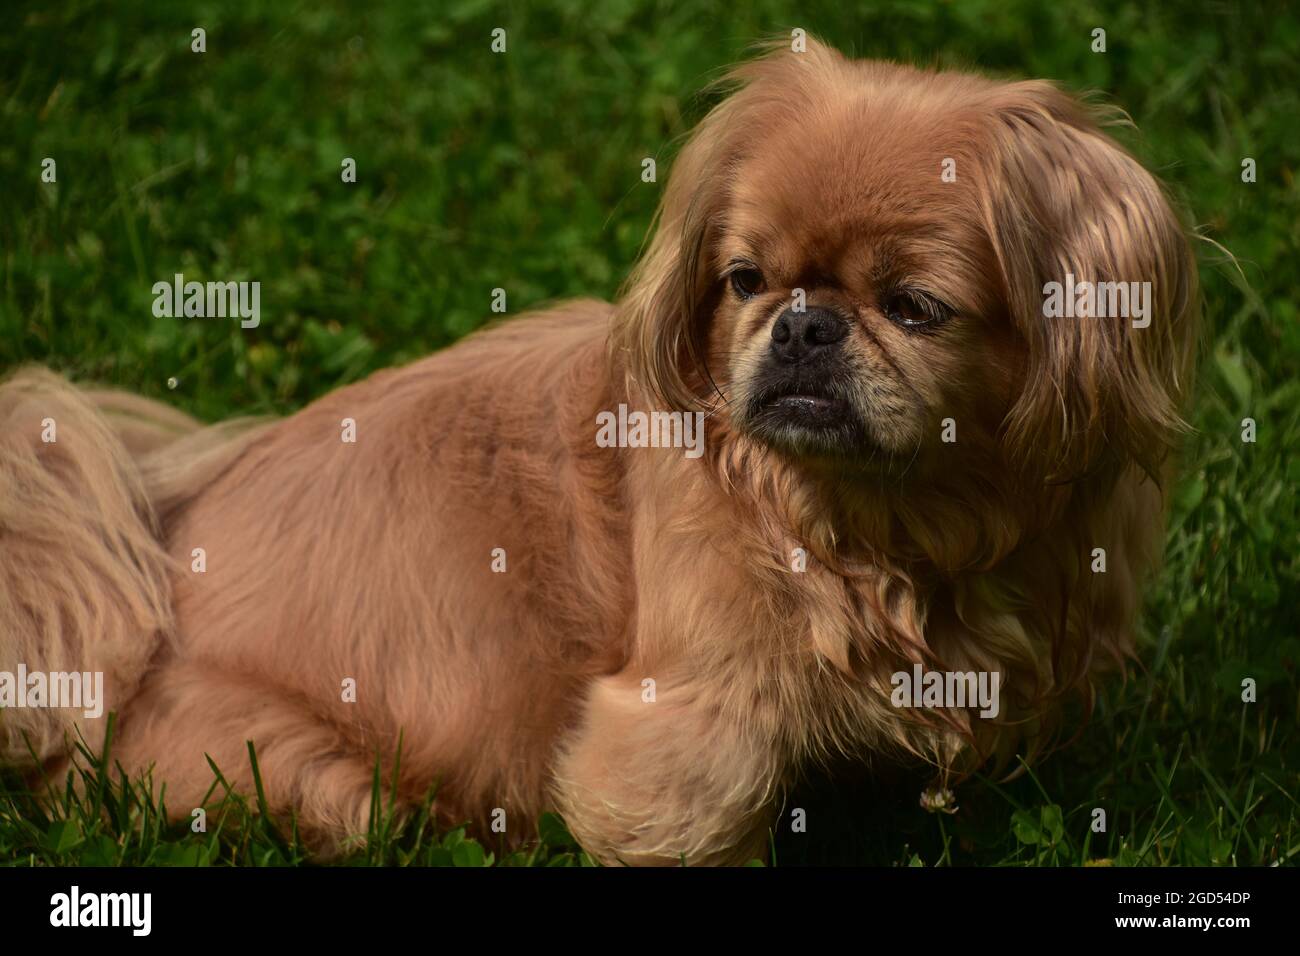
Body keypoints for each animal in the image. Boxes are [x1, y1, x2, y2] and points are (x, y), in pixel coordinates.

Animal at [0, 39, 1196, 868]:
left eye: (913, 307)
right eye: (745, 280)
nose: (805, 325)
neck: (878, 525)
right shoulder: (685, 733)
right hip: (315, 780)